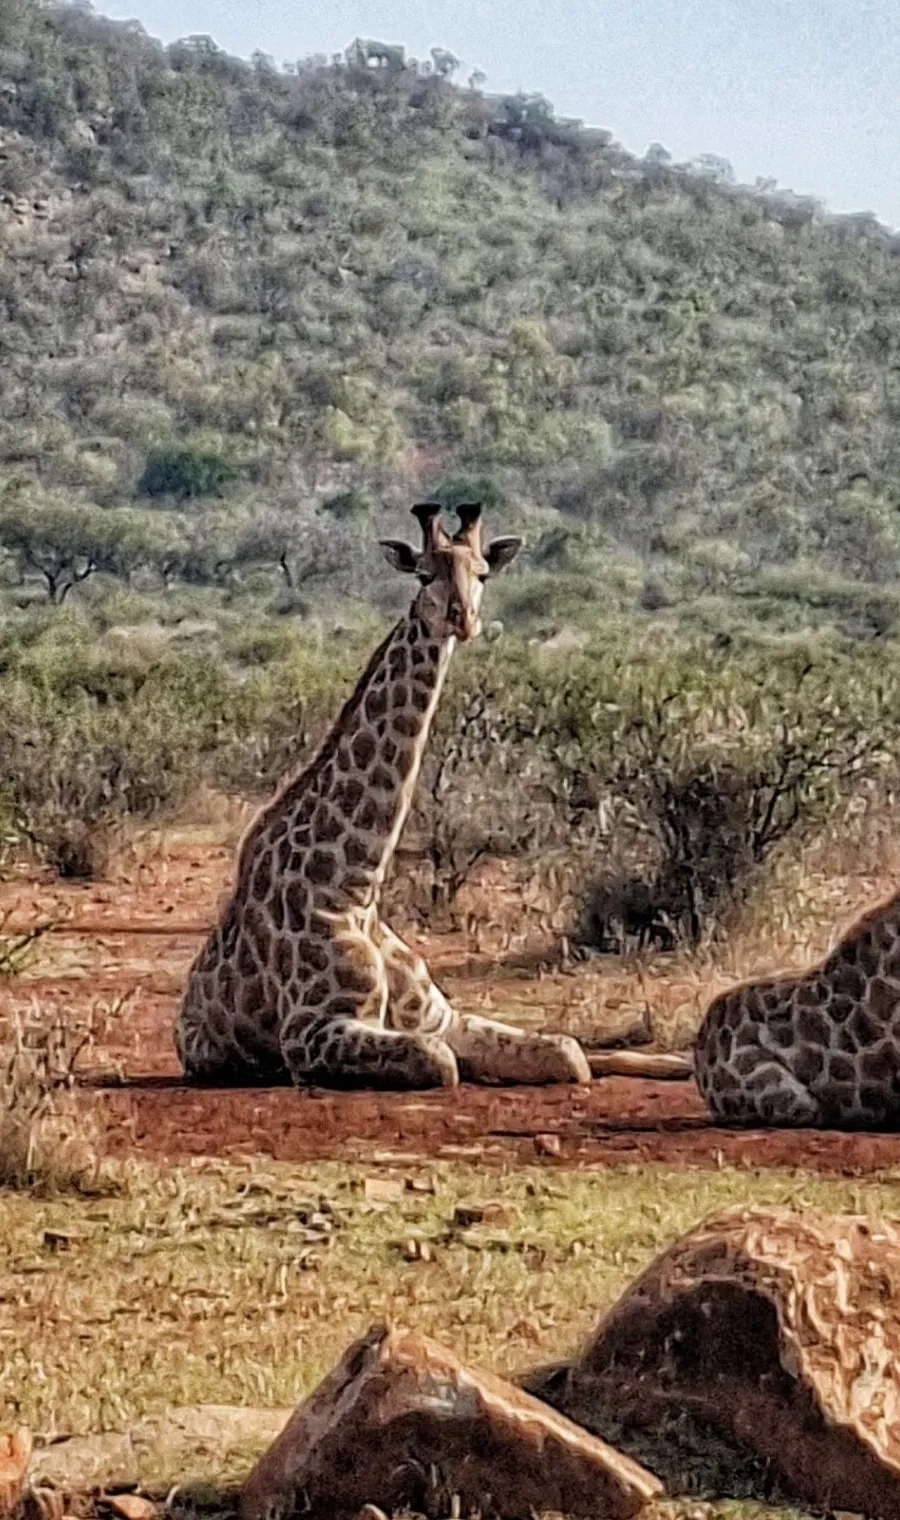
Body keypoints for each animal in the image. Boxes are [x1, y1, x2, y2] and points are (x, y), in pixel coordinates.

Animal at [174, 502, 591, 1092]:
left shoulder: (441, 1016)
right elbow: (443, 1063)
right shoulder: (311, 1029)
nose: (462, 619)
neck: (356, 889)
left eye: (483, 573)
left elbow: (569, 1052)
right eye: (424, 575)